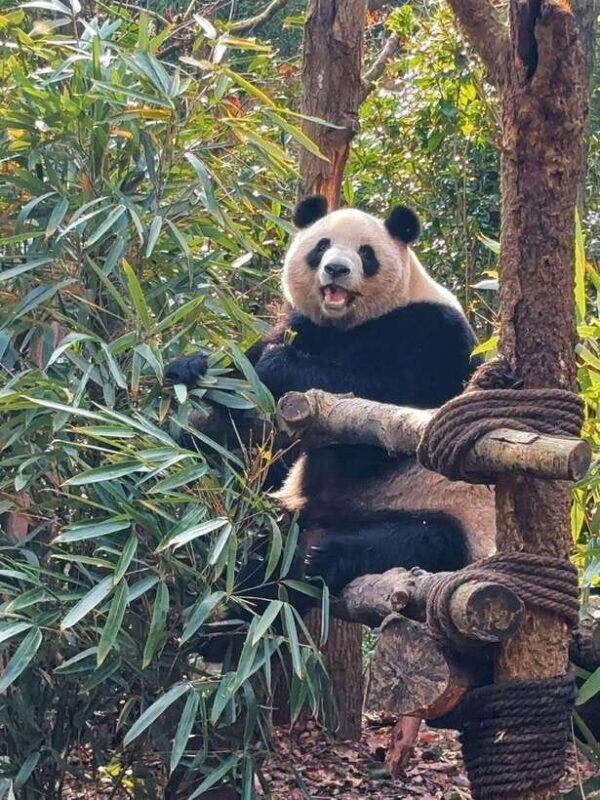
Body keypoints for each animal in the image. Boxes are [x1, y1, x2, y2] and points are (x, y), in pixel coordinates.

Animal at [165, 196, 496, 603]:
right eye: (321, 246)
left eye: (366, 253)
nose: (336, 269)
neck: (350, 323)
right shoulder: (306, 325)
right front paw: (190, 367)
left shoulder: (431, 335)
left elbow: (380, 407)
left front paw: (278, 364)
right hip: (291, 519)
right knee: (264, 562)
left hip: (455, 520)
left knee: (424, 539)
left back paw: (325, 557)